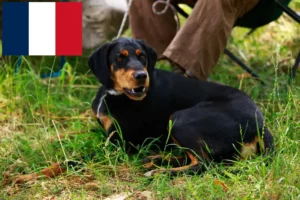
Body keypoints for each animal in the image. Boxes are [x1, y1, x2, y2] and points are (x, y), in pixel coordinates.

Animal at [87, 37, 274, 177]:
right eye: (119, 57)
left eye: (142, 56)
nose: (141, 76)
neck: (111, 93)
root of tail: (260, 124)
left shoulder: (119, 142)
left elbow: (90, 152)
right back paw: (155, 160)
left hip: (179, 119)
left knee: (203, 163)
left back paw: (159, 171)